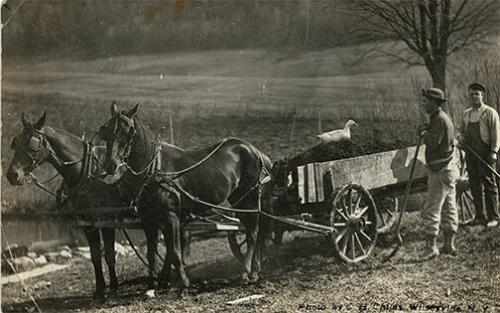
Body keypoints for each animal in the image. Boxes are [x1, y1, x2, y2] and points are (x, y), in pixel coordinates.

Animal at [6, 111, 128, 302]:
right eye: (16, 142)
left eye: (32, 145)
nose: (12, 175)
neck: (90, 174)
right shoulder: (88, 223)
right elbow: (95, 256)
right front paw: (100, 290)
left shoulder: (107, 221)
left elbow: (109, 254)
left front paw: (114, 289)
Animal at [96, 102, 272, 288]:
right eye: (106, 130)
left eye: (127, 131)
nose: (110, 165)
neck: (154, 168)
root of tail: (256, 151)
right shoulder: (149, 219)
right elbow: (152, 252)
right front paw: (155, 281)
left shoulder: (171, 215)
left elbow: (174, 250)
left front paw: (183, 280)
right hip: (239, 199)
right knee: (256, 233)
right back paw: (255, 269)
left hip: (250, 200)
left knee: (253, 233)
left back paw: (247, 272)